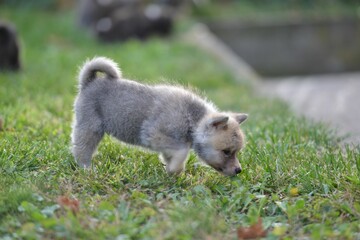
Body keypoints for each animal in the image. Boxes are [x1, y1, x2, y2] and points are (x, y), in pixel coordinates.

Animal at [71, 56, 249, 176]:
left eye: (236, 152)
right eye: (226, 152)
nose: (239, 170)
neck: (191, 118)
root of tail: (89, 82)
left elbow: (172, 156)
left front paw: (173, 173)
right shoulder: (154, 135)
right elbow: (182, 150)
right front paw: (175, 170)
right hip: (90, 129)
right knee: (81, 150)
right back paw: (87, 169)